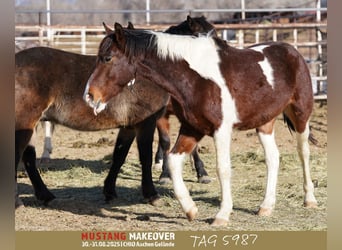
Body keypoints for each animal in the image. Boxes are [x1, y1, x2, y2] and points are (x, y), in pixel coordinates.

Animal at [16, 16, 215, 207]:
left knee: (29, 158)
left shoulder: (129, 126)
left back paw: (46, 196)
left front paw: (109, 191)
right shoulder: (146, 123)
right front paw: (151, 194)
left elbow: (119, 156)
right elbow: (145, 157)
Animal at [85, 23, 318, 227]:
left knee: (304, 153)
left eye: (108, 58)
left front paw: (222, 215)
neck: (197, 79)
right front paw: (190, 209)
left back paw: (309, 199)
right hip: (264, 123)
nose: (89, 95)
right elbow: (173, 161)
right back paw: (266, 206)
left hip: (300, 116)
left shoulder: (221, 130)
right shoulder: (192, 128)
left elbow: (223, 169)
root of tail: (291, 50)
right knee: (273, 158)